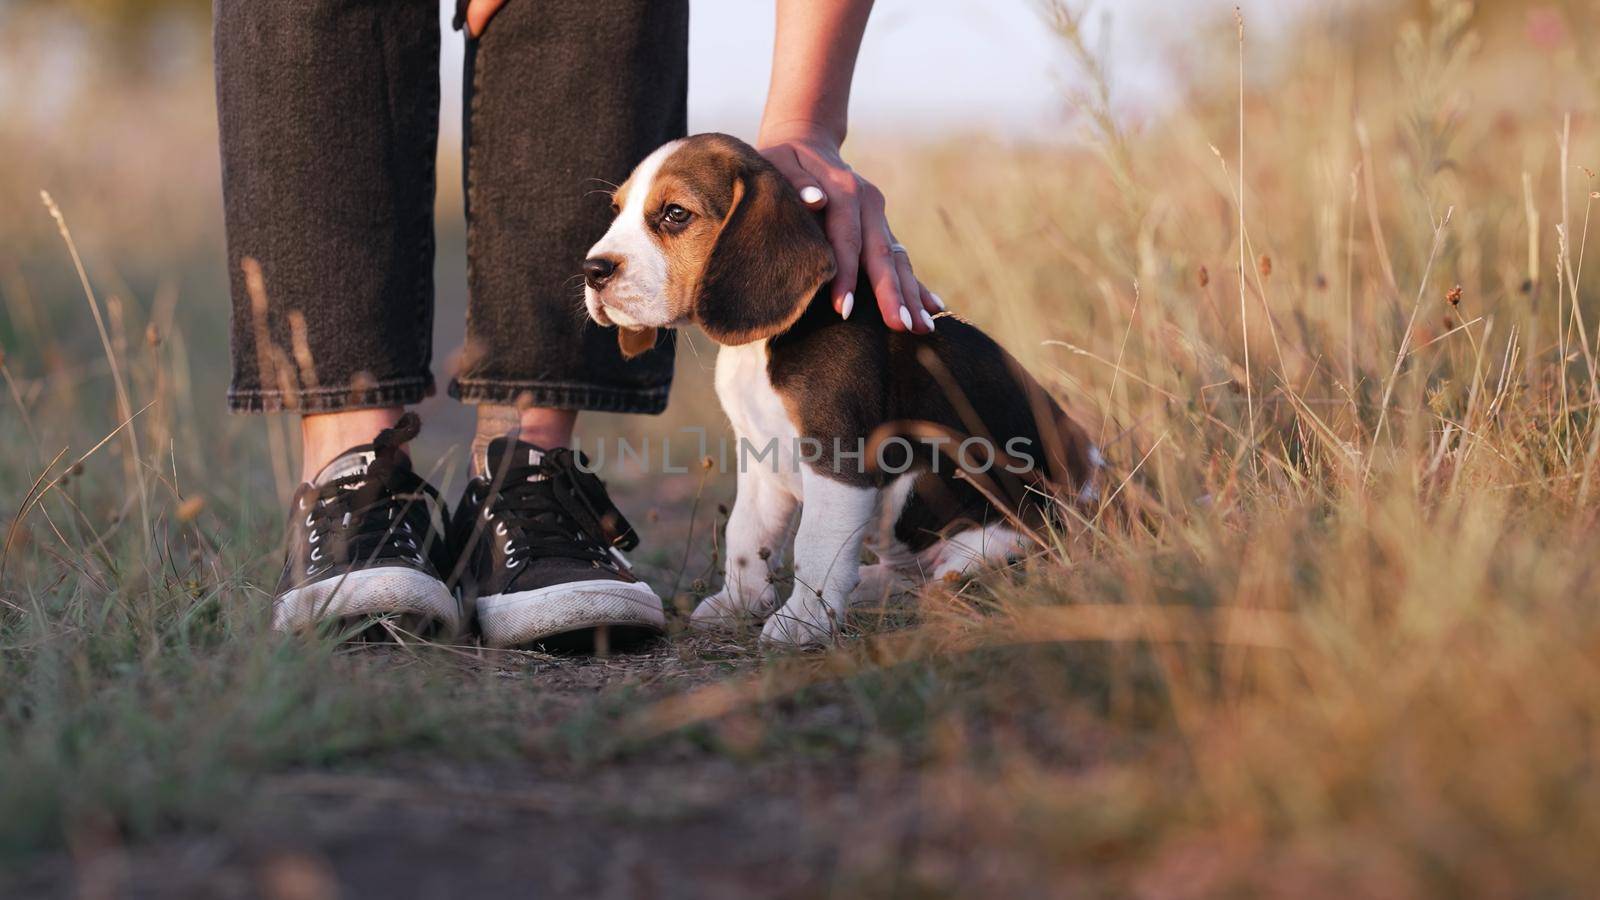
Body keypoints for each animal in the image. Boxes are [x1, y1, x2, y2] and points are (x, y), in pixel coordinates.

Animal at [588, 131, 1100, 643]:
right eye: (616, 209)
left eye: (675, 213)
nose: (592, 270)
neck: (767, 343)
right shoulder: (759, 457)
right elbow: (746, 534)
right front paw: (737, 603)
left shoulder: (837, 458)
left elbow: (815, 546)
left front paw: (800, 623)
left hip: (992, 531)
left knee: (961, 574)